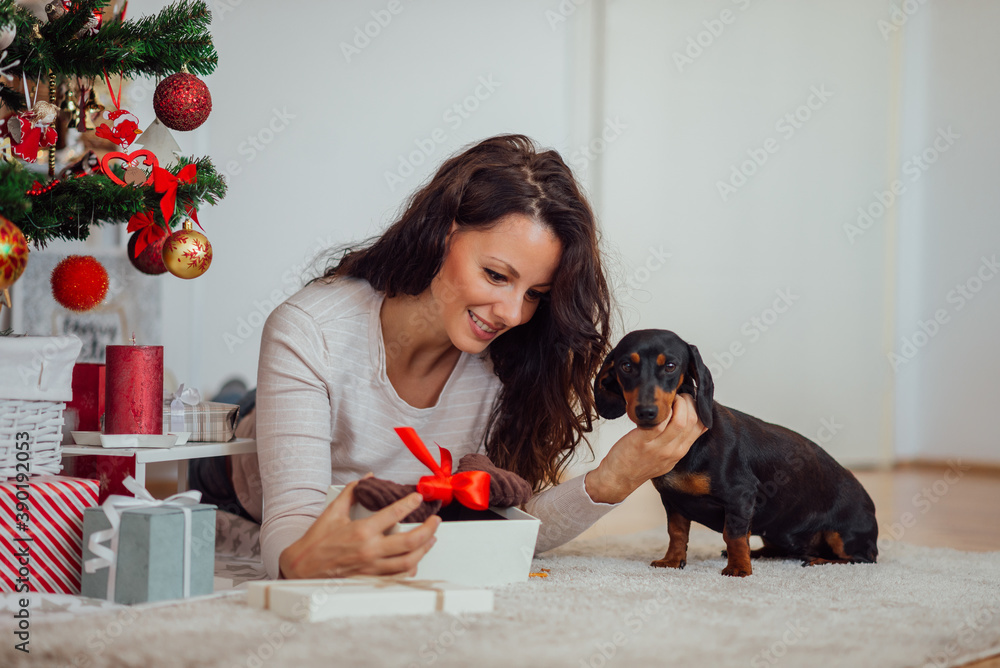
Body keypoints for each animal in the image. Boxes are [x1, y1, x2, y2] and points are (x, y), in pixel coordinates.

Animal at [592, 328, 876, 576]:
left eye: (670, 366)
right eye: (626, 366)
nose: (646, 412)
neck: (694, 445)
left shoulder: (740, 496)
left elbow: (735, 535)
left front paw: (739, 568)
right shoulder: (673, 502)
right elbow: (677, 533)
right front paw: (672, 561)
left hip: (843, 537)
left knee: (861, 558)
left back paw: (819, 560)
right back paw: (762, 553)